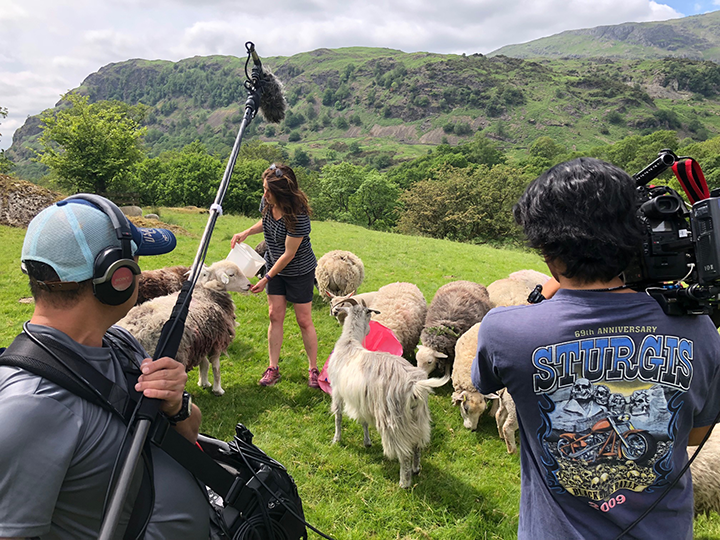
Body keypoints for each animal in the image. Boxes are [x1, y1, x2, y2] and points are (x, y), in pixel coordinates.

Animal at [118, 260, 251, 396]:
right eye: (231, 274)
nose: (249, 285)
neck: (206, 291)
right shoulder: (217, 340)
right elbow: (216, 367)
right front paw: (218, 389)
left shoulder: (202, 338)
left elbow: (204, 363)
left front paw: (203, 383)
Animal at [328, 303, 449, 488]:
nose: (369, 329)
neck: (349, 342)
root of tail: (414, 386)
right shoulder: (362, 401)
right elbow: (364, 422)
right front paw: (367, 442)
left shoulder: (337, 392)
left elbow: (338, 417)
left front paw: (336, 439)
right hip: (419, 418)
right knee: (417, 445)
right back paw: (416, 469)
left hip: (393, 421)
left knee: (404, 453)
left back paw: (404, 483)